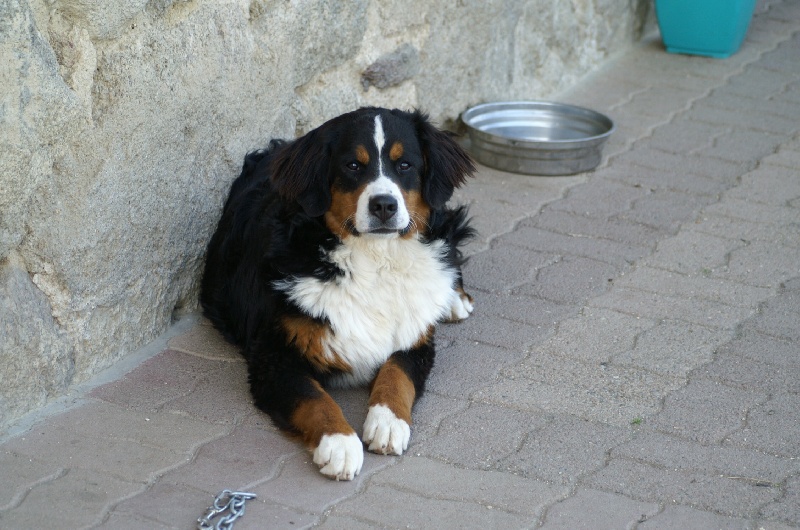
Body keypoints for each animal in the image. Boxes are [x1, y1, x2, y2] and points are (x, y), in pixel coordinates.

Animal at [200, 106, 476, 478]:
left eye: (405, 165)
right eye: (353, 166)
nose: (384, 205)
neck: (375, 261)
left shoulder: (414, 338)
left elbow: (397, 374)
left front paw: (388, 422)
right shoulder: (275, 357)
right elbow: (314, 399)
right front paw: (340, 443)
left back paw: (454, 299)